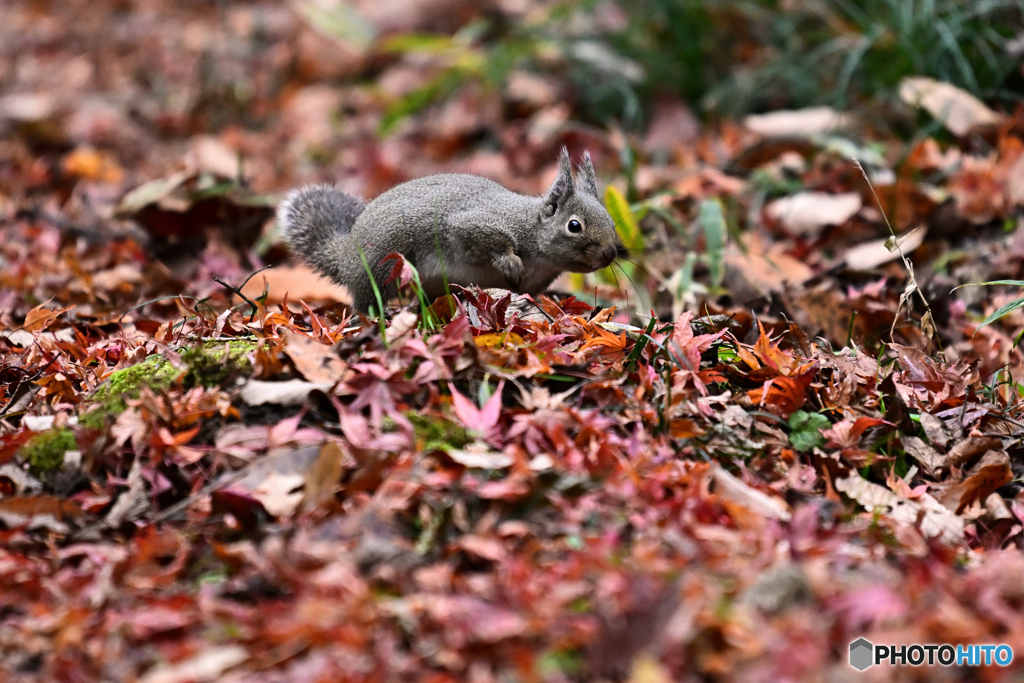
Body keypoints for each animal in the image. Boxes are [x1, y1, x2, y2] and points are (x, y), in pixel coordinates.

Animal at [276, 148, 618, 313]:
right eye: (574, 226)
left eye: (612, 222)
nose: (610, 253)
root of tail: (347, 256)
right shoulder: (472, 226)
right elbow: (485, 240)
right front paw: (510, 262)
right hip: (383, 260)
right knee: (366, 302)